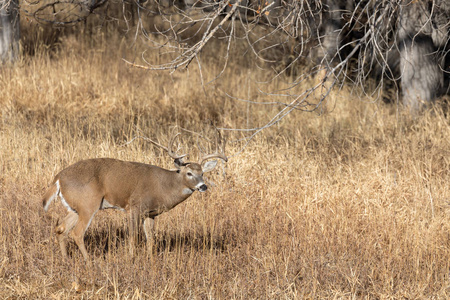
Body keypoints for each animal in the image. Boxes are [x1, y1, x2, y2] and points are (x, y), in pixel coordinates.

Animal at [42, 131, 227, 260]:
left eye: (202, 173)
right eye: (189, 173)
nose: (203, 186)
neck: (165, 187)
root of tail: (58, 178)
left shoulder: (150, 213)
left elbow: (150, 238)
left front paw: (150, 259)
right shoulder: (135, 207)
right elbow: (133, 236)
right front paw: (131, 258)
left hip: (75, 207)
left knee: (61, 229)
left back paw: (66, 259)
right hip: (88, 204)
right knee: (77, 233)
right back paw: (89, 262)